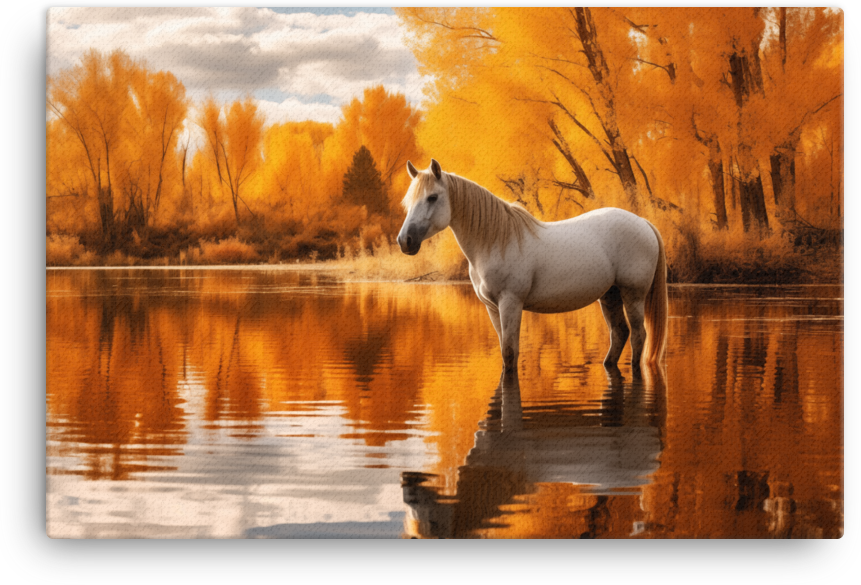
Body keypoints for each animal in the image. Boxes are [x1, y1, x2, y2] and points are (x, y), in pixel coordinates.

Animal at [397, 159, 668, 373]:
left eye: (432, 197)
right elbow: (504, 350)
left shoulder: (511, 303)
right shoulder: (492, 308)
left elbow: (510, 353)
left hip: (633, 295)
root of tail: (643, 222)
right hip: (610, 295)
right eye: (409, 201)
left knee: (638, 335)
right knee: (620, 333)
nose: (405, 241)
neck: (495, 241)